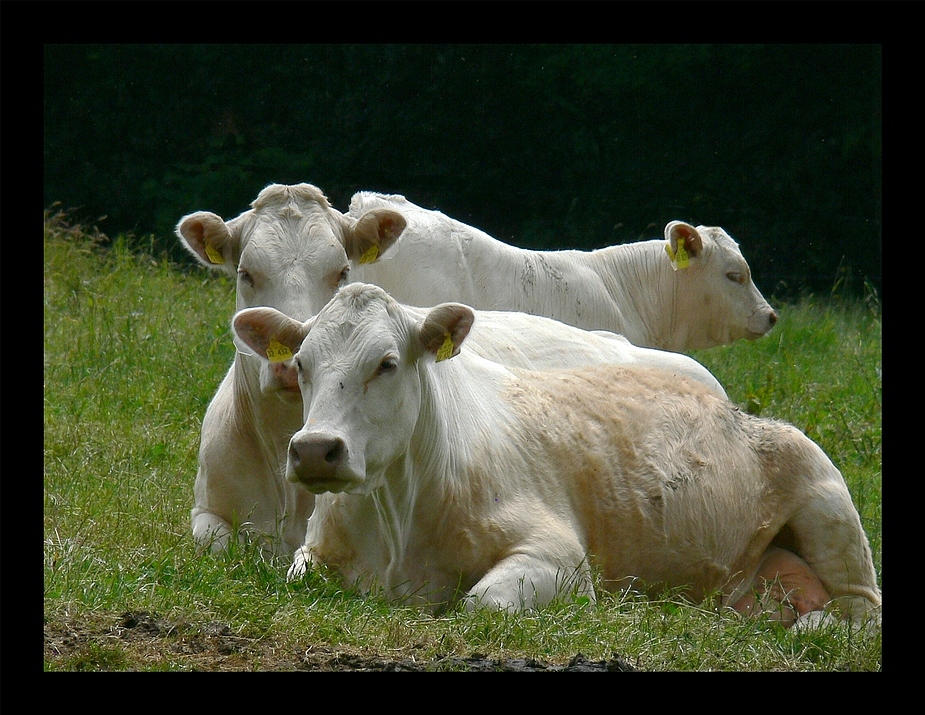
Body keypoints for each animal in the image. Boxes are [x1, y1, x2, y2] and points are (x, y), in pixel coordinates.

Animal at [231, 282, 880, 628]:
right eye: (301, 364)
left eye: (387, 363)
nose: (315, 450)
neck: (397, 528)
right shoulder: (312, 556)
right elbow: (297, 577)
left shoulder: (560, 555)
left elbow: (480, 605)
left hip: (828, 503)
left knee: (861, 608)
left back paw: (811, 623)